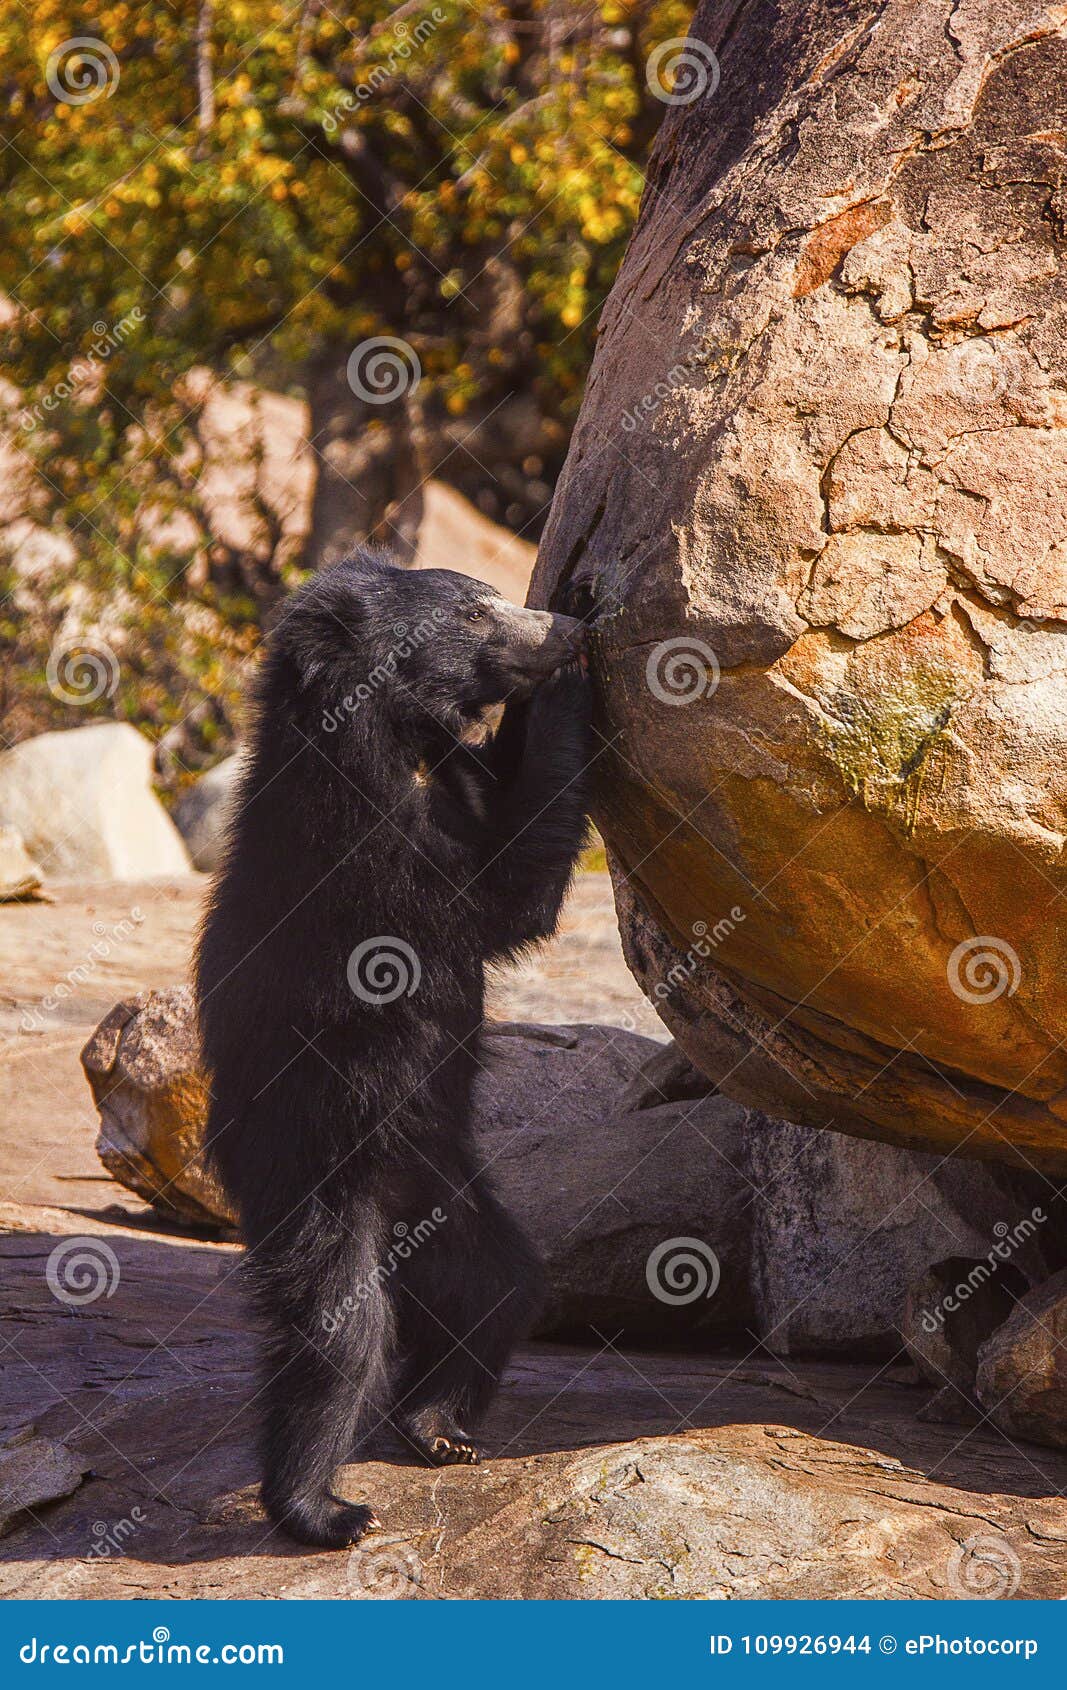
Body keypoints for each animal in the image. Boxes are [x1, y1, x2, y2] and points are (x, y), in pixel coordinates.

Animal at [194, 550, 591, 1548]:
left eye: (493, 595)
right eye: (474, 613)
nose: (561, 627)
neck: (383, 741)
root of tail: (395, 1206)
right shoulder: (376, 869)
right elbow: (508, 893)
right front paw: (572, 680)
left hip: (447, 1183)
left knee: (499, 1284)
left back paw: (438, 1426)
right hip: (312, 1171)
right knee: (341, 1331)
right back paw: (322, 1508)